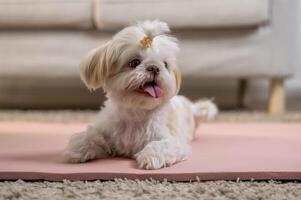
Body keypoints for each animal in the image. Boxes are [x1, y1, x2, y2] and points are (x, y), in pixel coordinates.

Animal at [64, 20, 217, 170]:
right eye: (134, 62)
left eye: (165, 64)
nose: (154, 67)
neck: (136, 114)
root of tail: (191, 107)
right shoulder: (106, 129)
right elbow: (92, 136)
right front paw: (78, 148)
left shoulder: (173, 141)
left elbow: (162, 145)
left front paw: (151, 157)